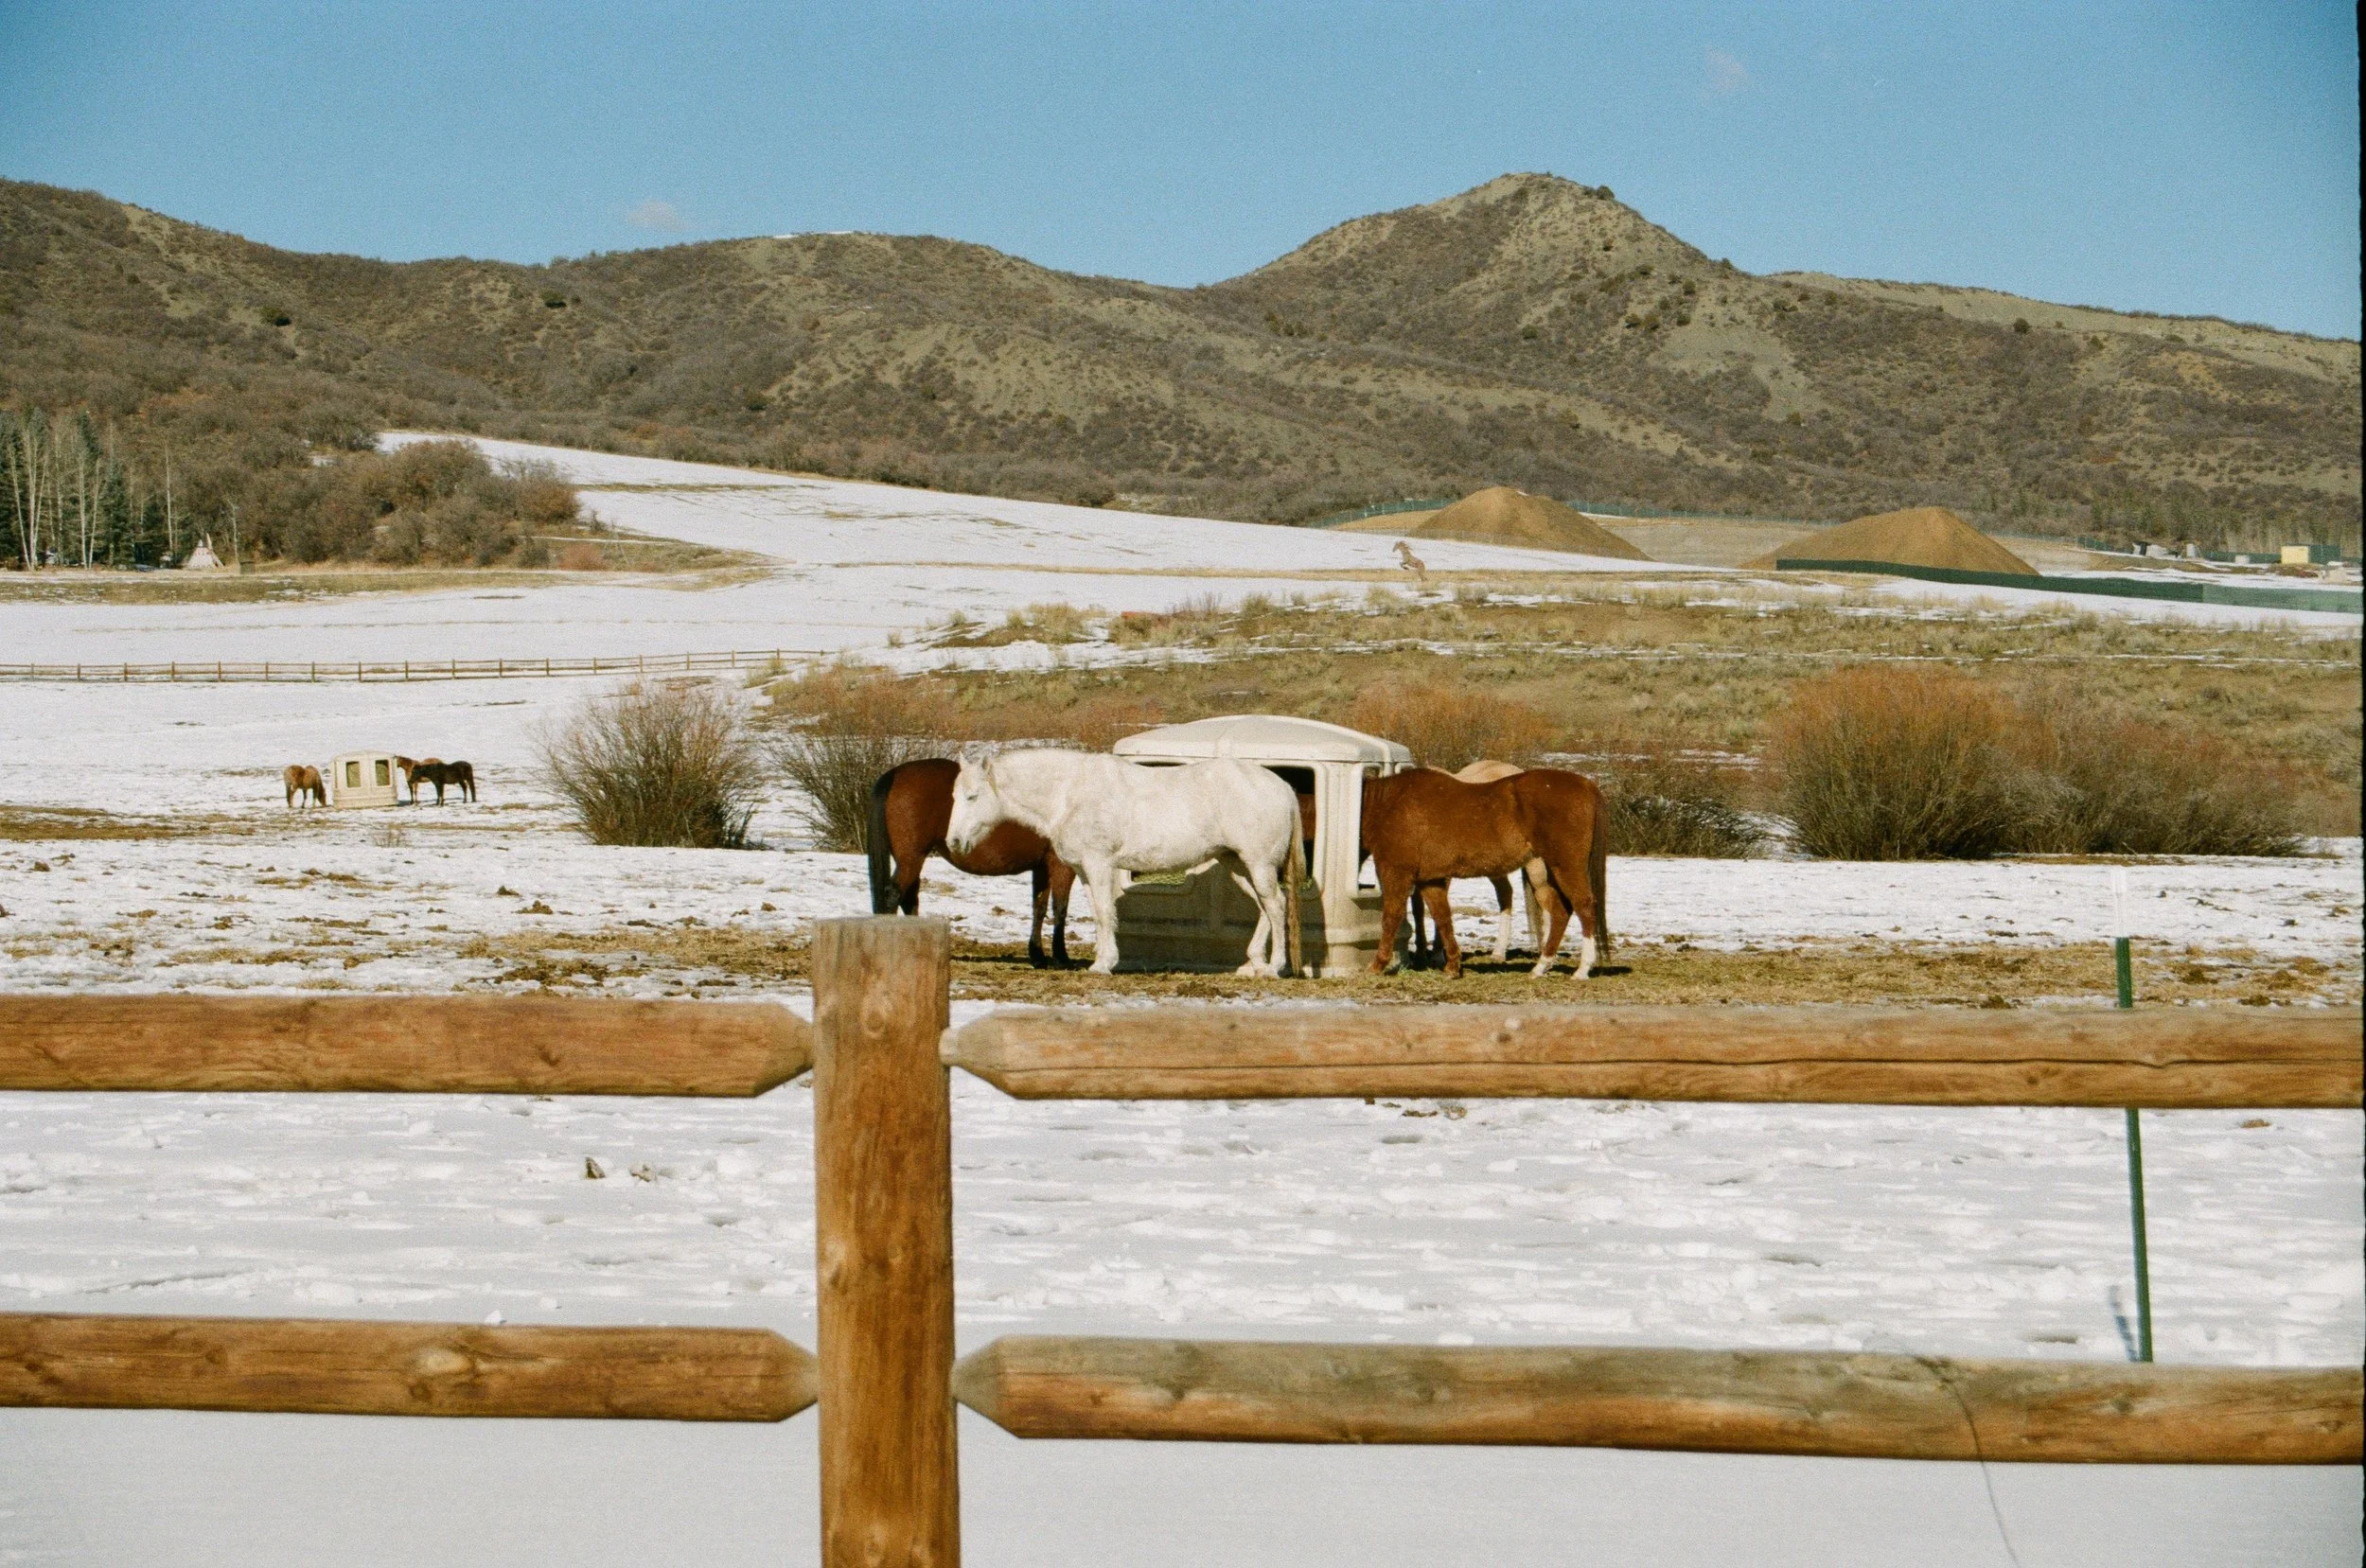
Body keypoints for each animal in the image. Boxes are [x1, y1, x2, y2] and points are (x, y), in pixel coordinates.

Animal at [867, 757, 1075, 968]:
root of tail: (896, 774)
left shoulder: (1042, 867)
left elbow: (1039, 908)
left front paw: (1038, 956)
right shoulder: (1061, 866)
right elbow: (1060, 909)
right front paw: (1062, 958)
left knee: (909, 899)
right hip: (912, 858)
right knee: (894, 895)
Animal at [947, 749, 1305, 977]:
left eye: (973, 797)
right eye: (953, 796)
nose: (953, 842)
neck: (1070, 793)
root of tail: (1284, 787)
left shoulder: (1099, 865)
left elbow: (1105, 913)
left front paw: (1103, 965)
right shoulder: (1085, 871)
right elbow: (1098, 913)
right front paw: (1102, 960)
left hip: (1258, 864)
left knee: (1276, 906)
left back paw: (1274, 968)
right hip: (1238, 865)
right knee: (1266, 907)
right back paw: (1254, 965)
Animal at [1361, 767, 1608, 979]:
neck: (1389, 804)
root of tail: (1587, 785)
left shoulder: (1396, 873)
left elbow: (1391, 917)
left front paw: (1377, 964)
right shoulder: (1430, 880)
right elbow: (1442, 917)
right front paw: (1452, 966)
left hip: (1566, 866)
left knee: (1584, 906)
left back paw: (1582, 969)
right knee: (1560, 912)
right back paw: (1541, 966)